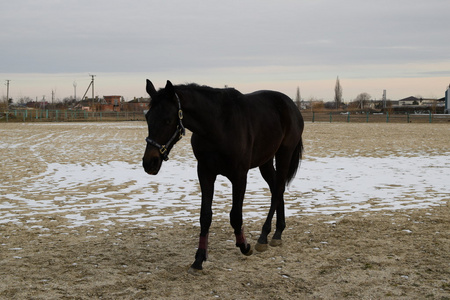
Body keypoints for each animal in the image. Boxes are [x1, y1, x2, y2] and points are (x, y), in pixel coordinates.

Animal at [142, 79, 304, 274]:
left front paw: (245, 246)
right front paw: (198, 259)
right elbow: (205, 216)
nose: (149, 163)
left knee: (278, 189)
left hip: (284, 154)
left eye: (167, 120)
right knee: (276, 189)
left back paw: (264, 237)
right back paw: (278, 232)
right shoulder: (205, 173)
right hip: (265, 161)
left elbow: (235, 215)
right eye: (148, 118)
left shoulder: (239, 175)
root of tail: (292, 105)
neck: (218, 125)